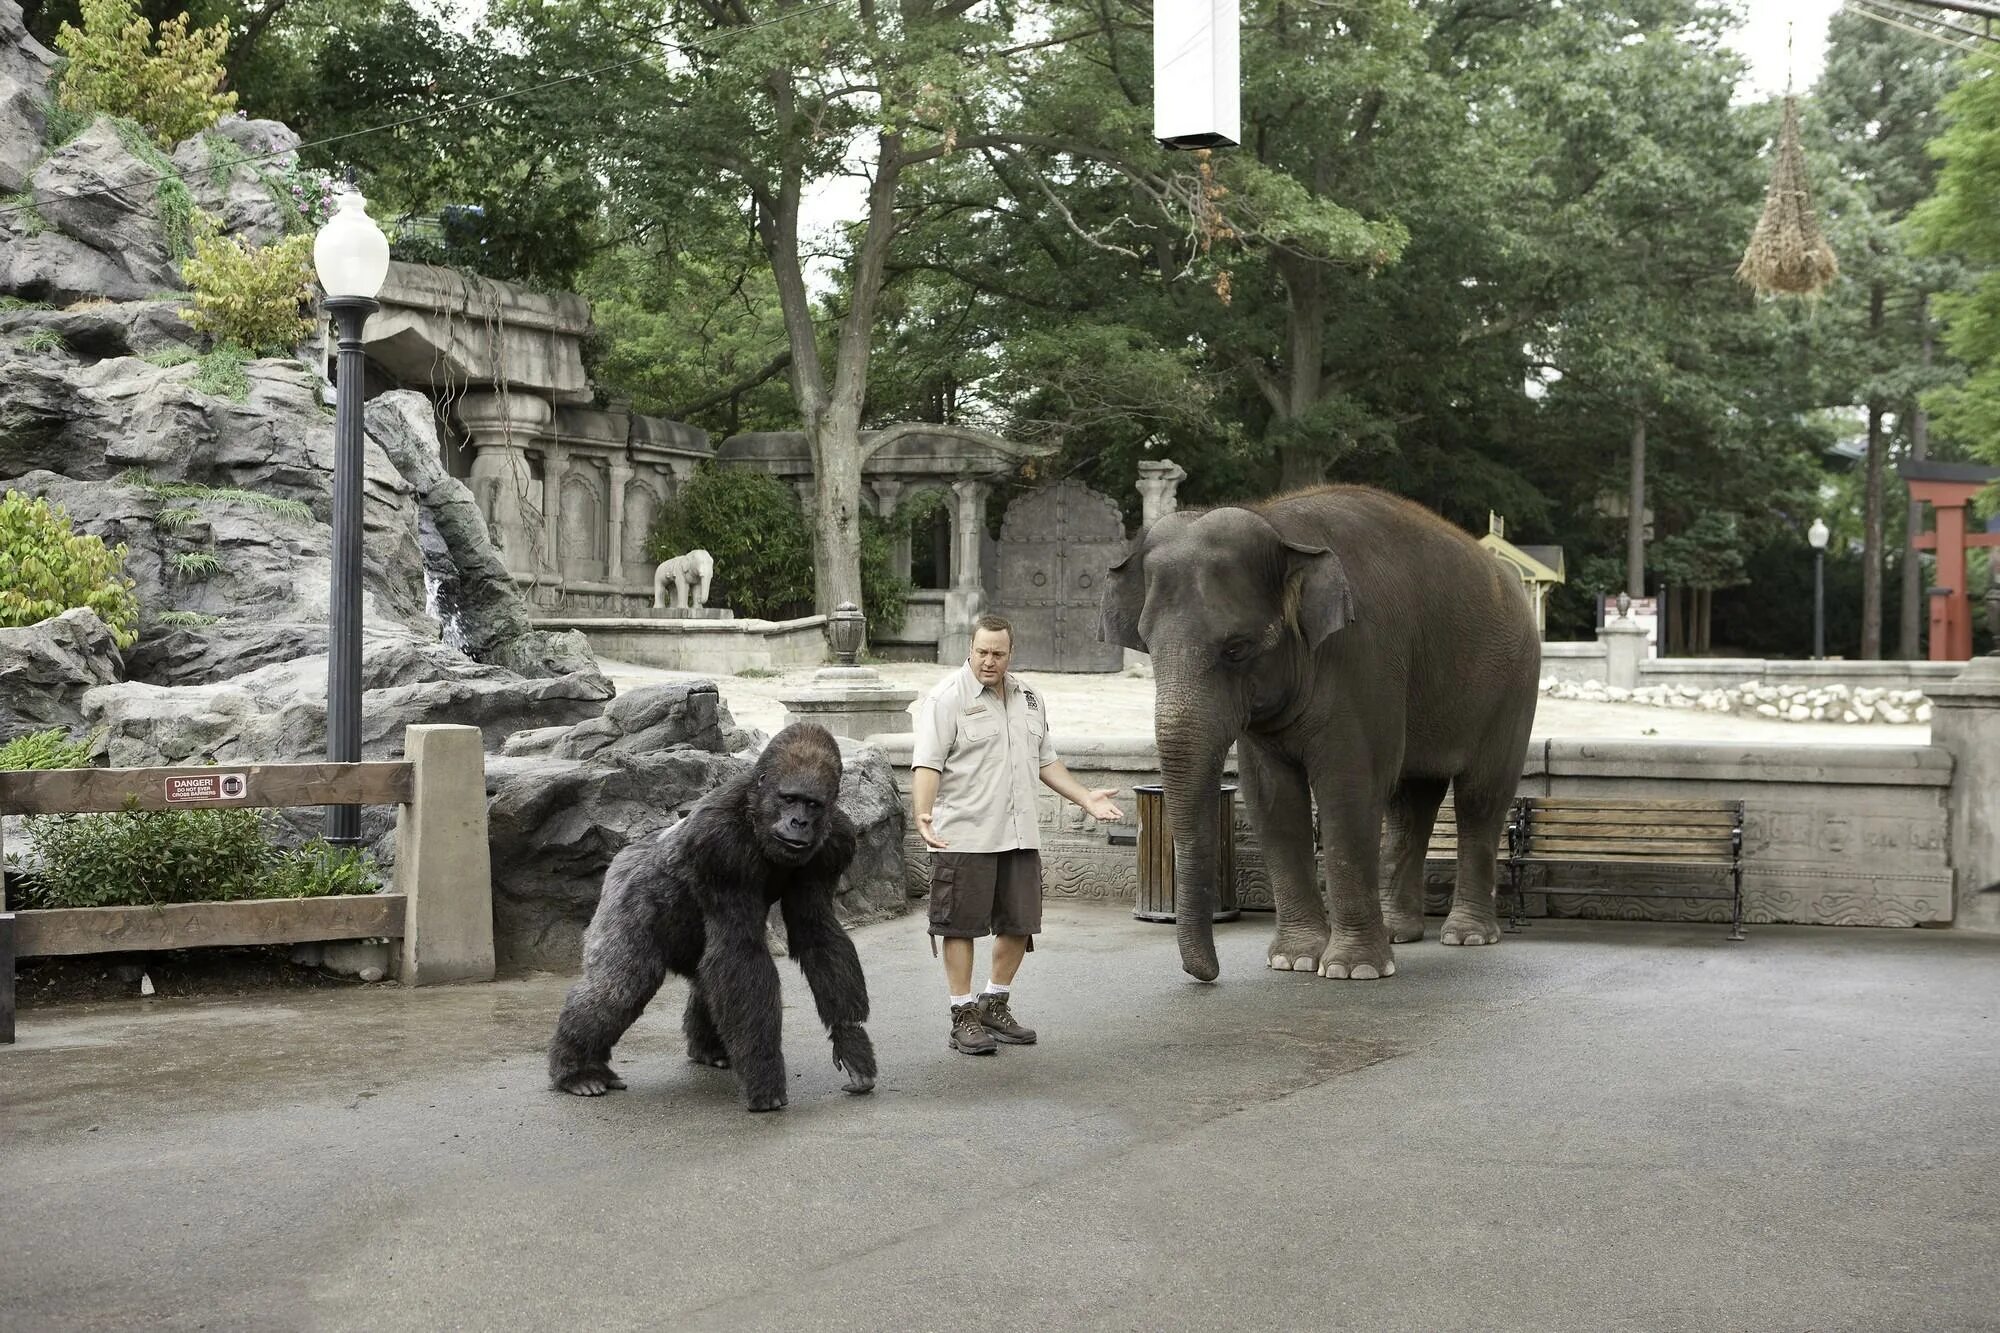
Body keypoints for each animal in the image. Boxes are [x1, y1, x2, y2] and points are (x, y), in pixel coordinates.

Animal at [548, 720, 876, 1104]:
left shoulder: (836, 841)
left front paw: (851, 1041)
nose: (799, 822)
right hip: (626, 889)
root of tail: (626, 853)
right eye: (789, 799)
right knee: (622, 984)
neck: (755, 810)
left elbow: (816, 931)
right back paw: (576, 1070)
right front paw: (764, 1074)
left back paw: (707, 1049)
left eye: (813, 804)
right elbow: (740, 950)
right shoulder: (719, 845)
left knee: (705, 975)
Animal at [1096, 482, 1544, 980]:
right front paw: (1293, 961)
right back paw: (1398, 932)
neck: (1279, 525)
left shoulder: (1364, 657)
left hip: (1514, 686)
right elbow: (1271, 797)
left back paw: (1467, 936)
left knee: (1481, 797)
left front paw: (1353, 970)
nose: (1208, 975)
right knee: (1411, 802)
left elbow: (1348, 789)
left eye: (1236, 648)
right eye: (1147, 645)